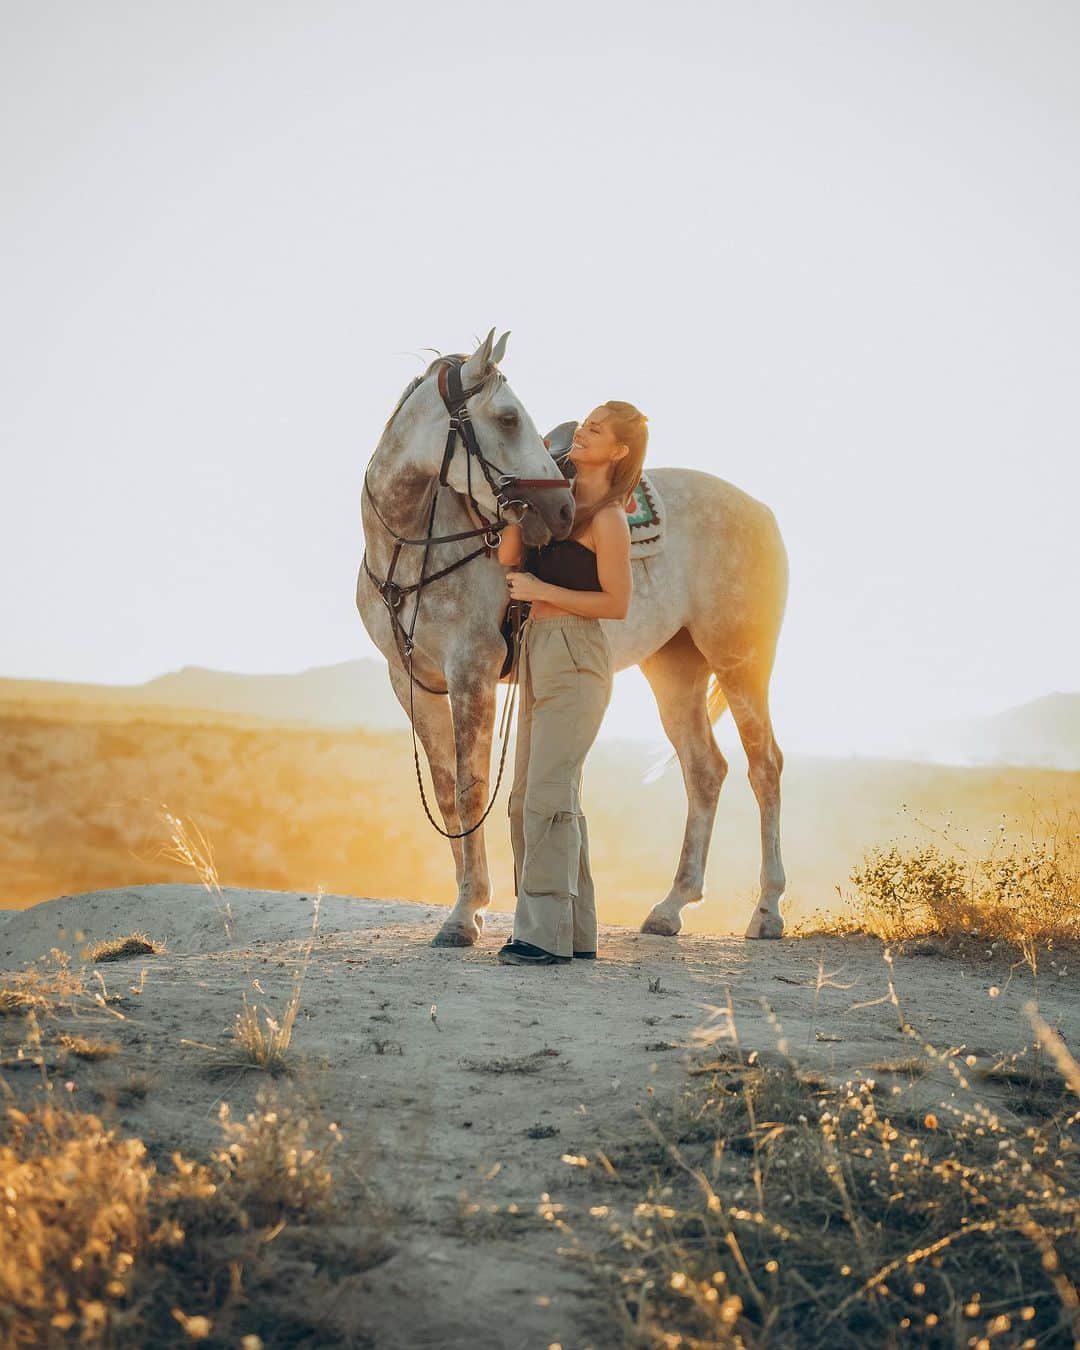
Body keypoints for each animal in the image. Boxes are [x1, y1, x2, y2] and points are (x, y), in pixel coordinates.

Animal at [359, 329, 788, 939]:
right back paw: (670, 907)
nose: (561, 508)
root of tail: (760, 510)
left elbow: (469, 790)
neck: (412, 550)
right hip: (675, 668)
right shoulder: (411, 682)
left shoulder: (472, 672)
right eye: (508, 417)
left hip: (740, 661)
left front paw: (466, 913)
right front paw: (470, 904)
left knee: (764, 766)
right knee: (706, 770)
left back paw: (768, 909)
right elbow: (446, 792)